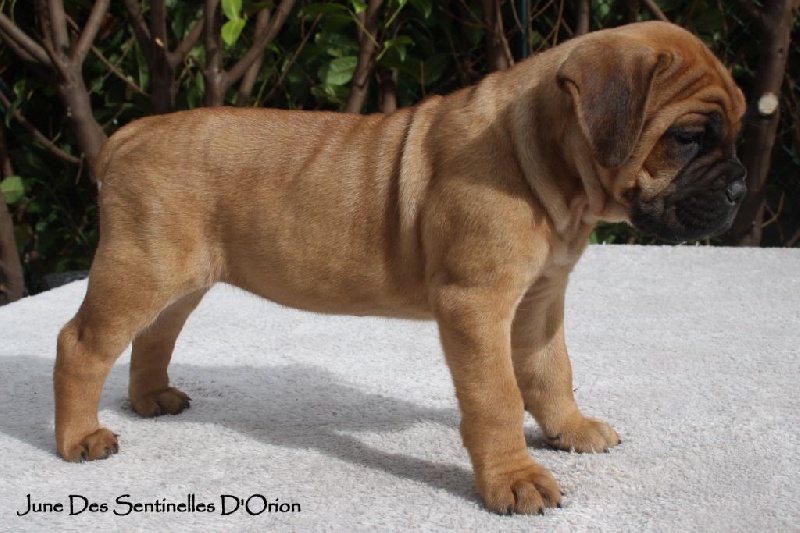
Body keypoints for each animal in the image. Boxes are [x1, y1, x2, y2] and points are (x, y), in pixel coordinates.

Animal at [53, 21, 748, 516]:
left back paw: (150, 399)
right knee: (82, 343)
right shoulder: (477, 304)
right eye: (688, 136)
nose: (742, 186)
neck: (542, 160)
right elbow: (497, 396)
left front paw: (571, 431)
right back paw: (78, 439)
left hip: (179, 280)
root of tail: (131, 134)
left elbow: (551, 372)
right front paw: (515, 480)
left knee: (154, 335)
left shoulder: (541, 300)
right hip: (140, 269)